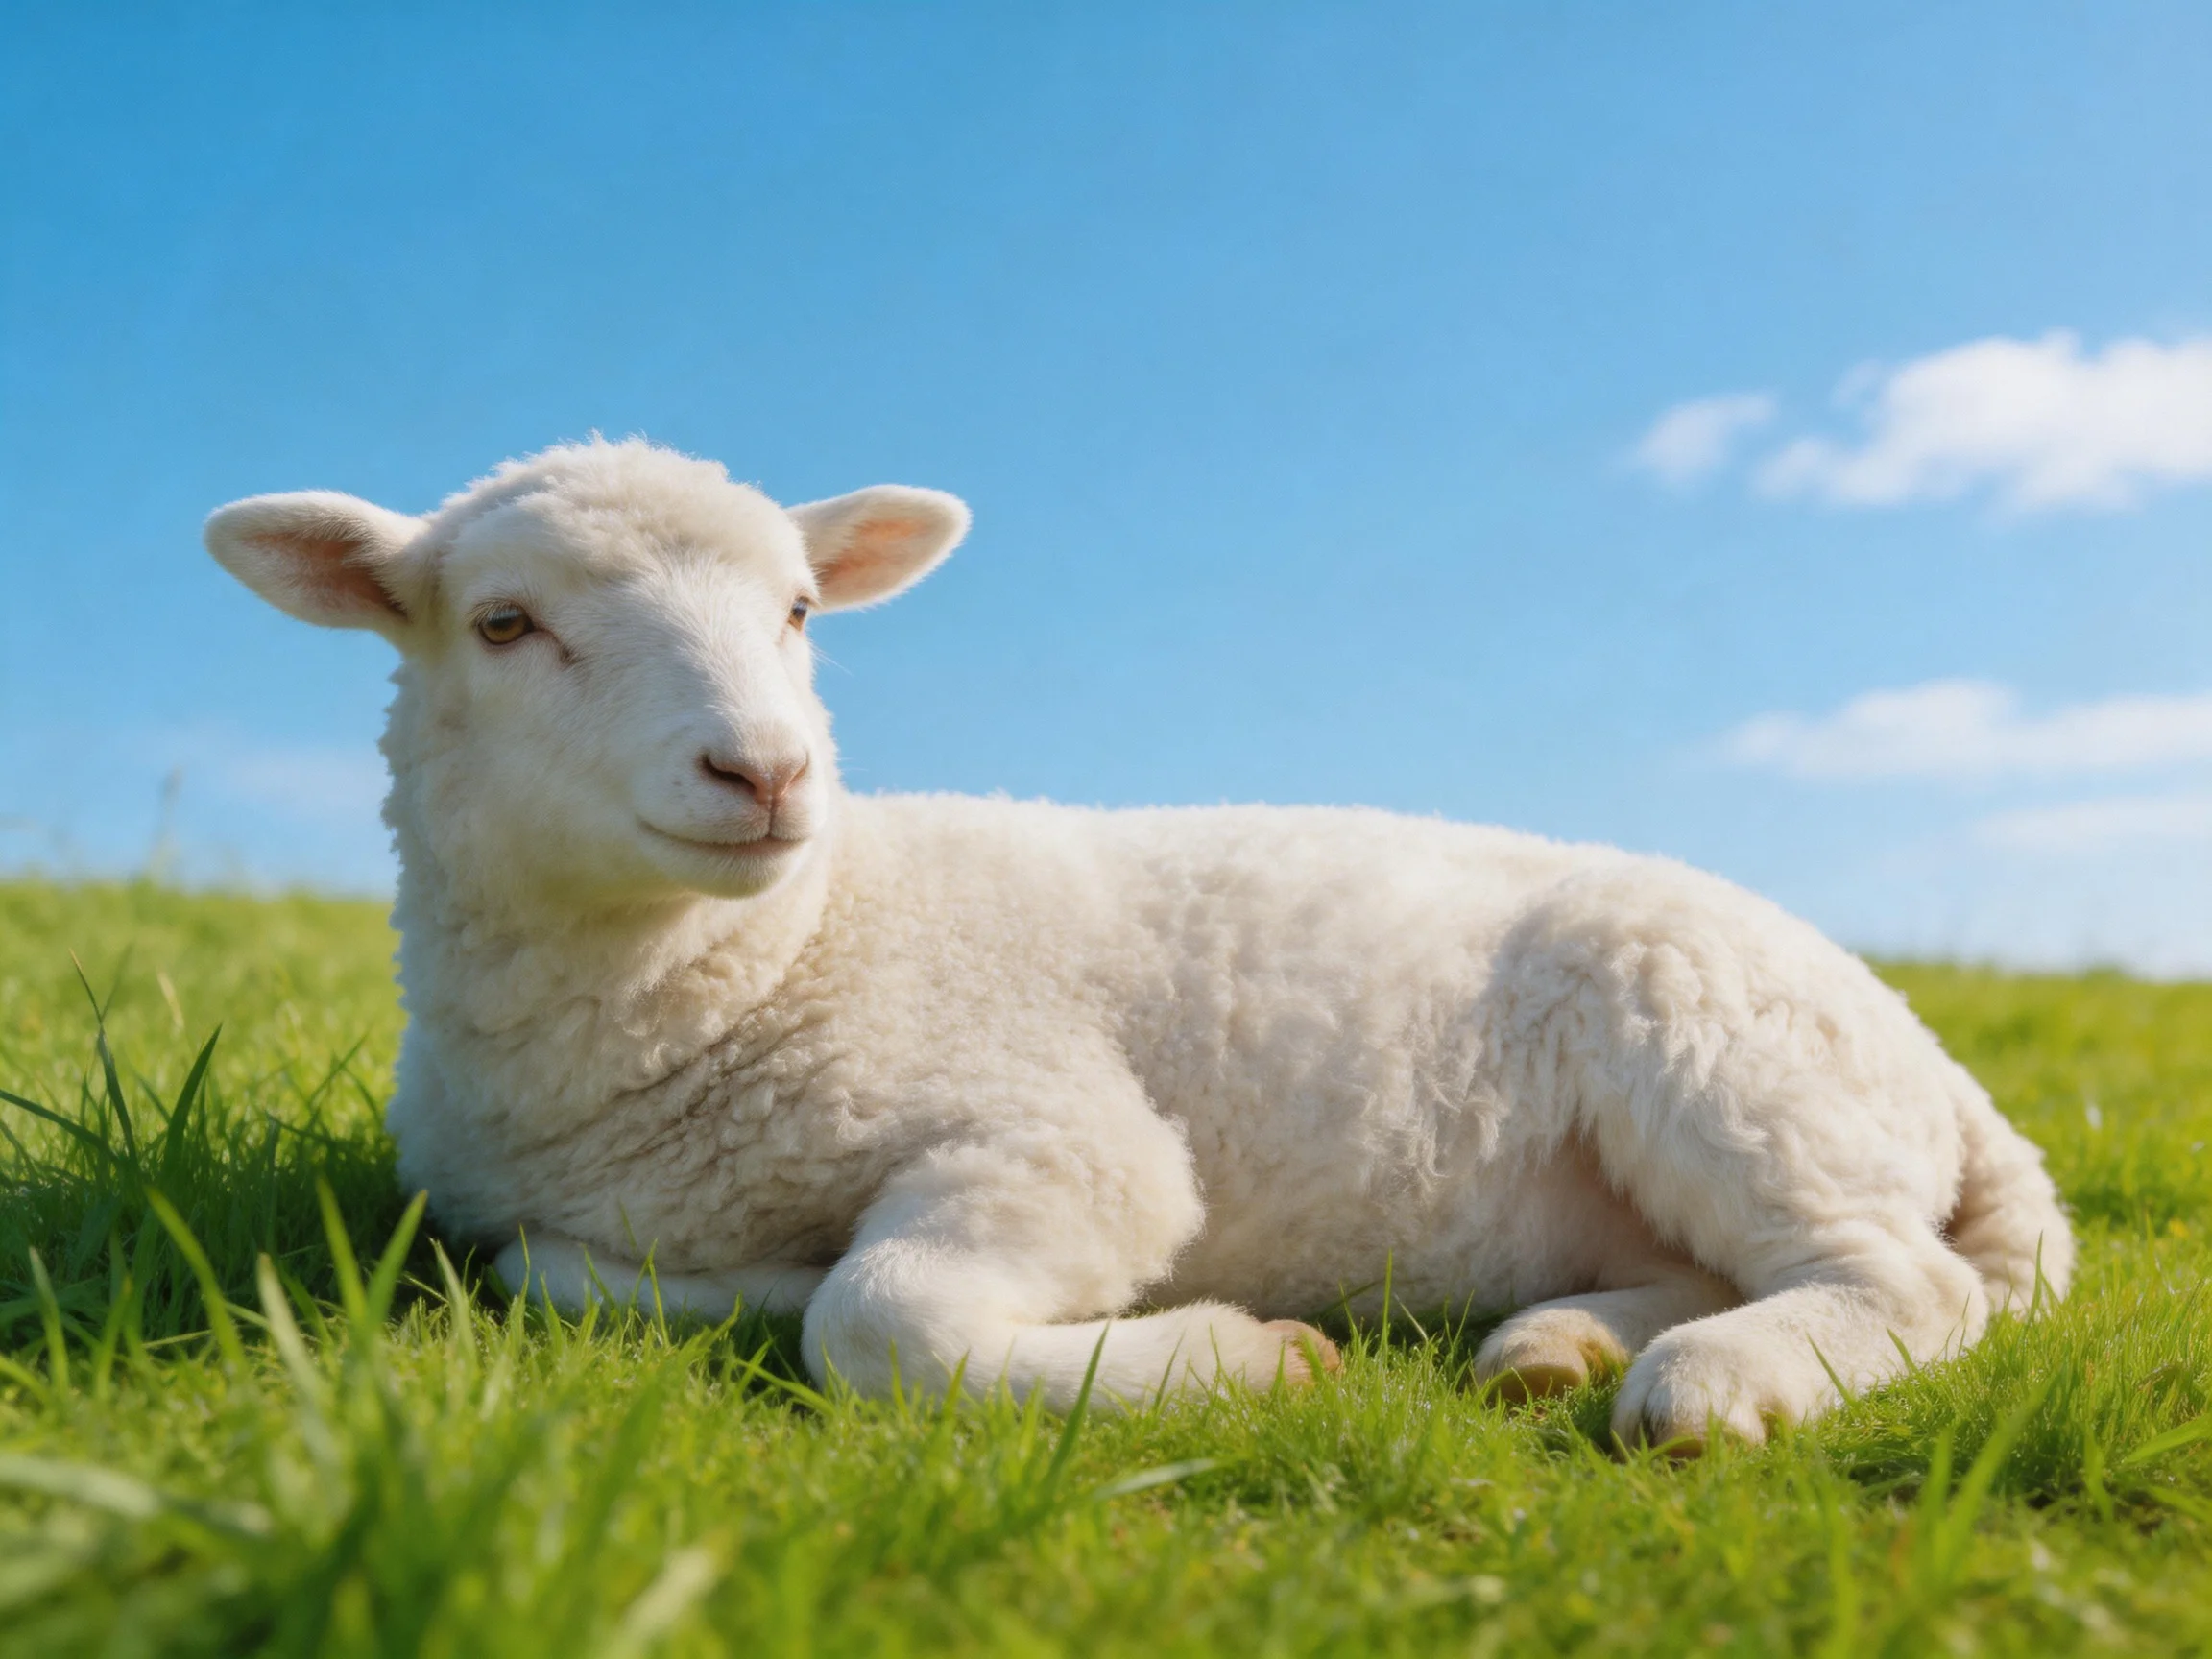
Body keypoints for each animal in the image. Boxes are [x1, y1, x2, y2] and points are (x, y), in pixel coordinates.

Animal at [204, 437, 2073, 1449]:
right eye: (505, 624)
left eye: (799, 613)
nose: (767, 770)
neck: (775, 960)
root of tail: (1944, 1069)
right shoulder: (518, 1218)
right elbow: (556, 1275)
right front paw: (753, 1285)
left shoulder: (1065, 1141)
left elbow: (881, 1321)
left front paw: (1238, 1359)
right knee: (1743, 1263)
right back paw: (1563, 1348)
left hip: (1723, 1052)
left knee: (1903, 1284)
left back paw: (1702, 1385)